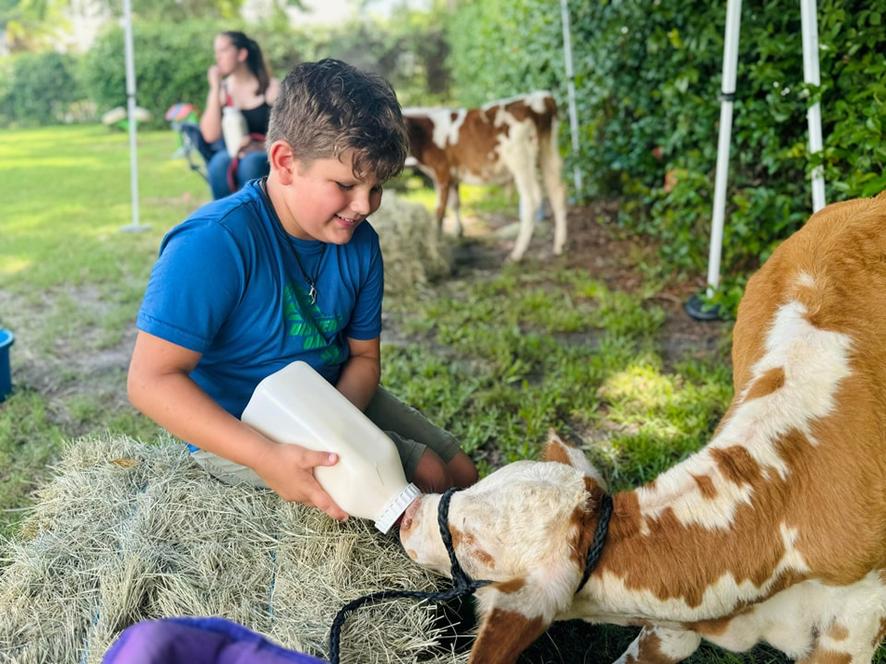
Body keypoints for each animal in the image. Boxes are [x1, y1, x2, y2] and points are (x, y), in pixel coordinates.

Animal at [402, 91, 568, 262]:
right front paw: (458, 232)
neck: (428, 134)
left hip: (520, 159)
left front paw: (437, 242)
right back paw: (559, 246)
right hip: (548, 150)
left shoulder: (442, 173)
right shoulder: (453, 177)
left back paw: (517, 253)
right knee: (557, 190)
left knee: (531, 199)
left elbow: (439, 211)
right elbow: (455, 204)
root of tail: (539, 97)